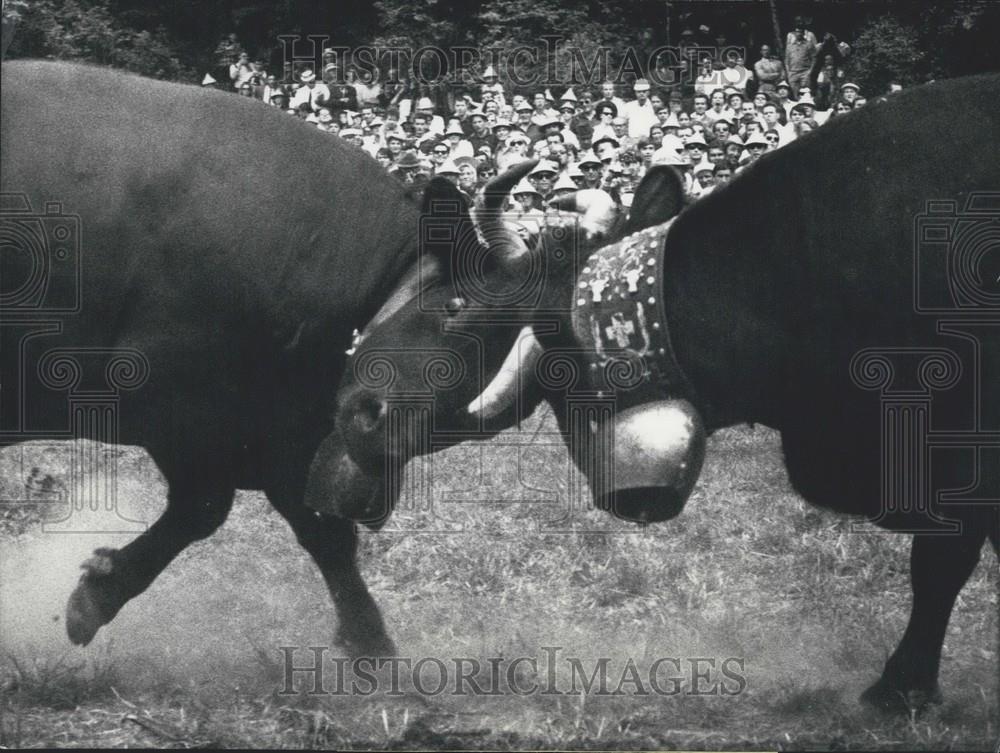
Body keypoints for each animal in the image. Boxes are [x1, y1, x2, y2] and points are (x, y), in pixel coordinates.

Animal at [0, 61, 528, 656]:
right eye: (455, 309)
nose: (376, 433)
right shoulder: (182, 410)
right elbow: (208, 508)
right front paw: (96, 595)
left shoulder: (279, 435)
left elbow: (320, 529)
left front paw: (370, 644)